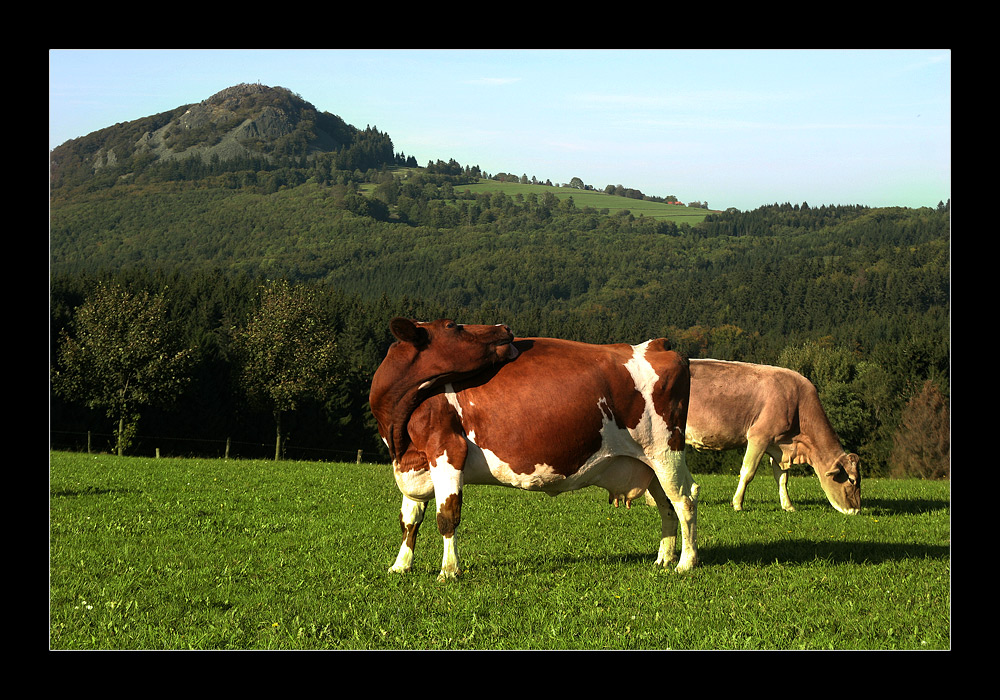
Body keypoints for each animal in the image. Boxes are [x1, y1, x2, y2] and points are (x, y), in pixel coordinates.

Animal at [372, 318, 700, 580]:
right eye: (454, 325)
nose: (504, 327)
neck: (398, 435)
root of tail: (656, 345)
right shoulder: (415, 464)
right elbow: (409, 519)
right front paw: (400, 565)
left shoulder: (447, 449)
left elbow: (447, 516)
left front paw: (449, 571)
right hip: (649, 464)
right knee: (666, 505)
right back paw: (664, 558)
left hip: (665, 451)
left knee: (684, 499)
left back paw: (686, 562)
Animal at [684, 360, 864, 516]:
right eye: (852, 480)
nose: (856, 510)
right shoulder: (759, 436)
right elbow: (747, 472)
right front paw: (737, 504)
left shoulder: (779, 446)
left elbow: (782, 478)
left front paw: (788, 506)